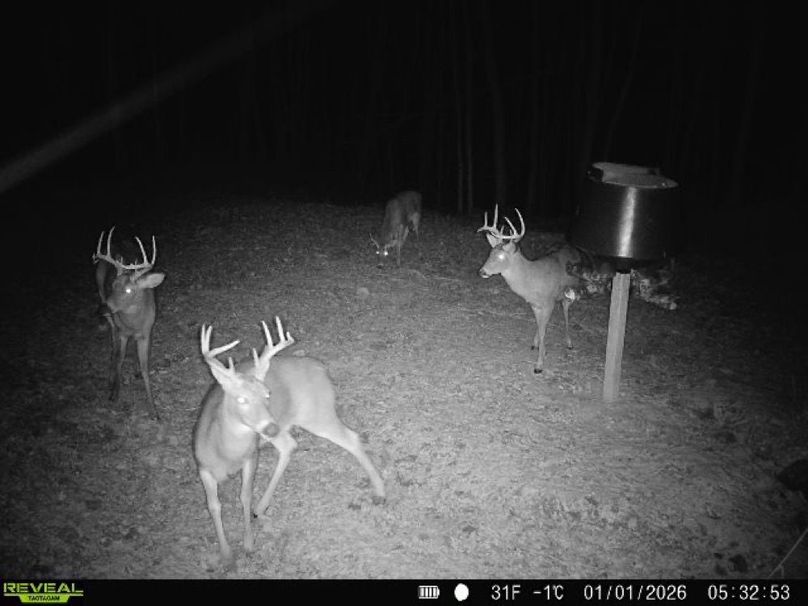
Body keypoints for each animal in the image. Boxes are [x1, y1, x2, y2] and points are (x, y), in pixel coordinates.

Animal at [92, 226, 165, 419]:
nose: (101, 309)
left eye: (129, 290)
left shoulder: (147, 332)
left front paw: (154, 410)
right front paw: (114, 393)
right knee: (113, 340)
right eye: (113, 284)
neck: (134, 323)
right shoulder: (122, 331)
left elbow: (145, 366)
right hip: (102, 294)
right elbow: (119, 357)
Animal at [193, 318, 386, 567]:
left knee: (350, 438)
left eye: (267, 394)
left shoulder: (251, 456)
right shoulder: (202, 466)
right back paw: (261, 507)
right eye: (241, 399)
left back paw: (380, 490)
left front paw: (248, 545)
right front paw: (226, 554)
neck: (225, 454)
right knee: (290, 445)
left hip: (317, 414)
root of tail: (320, 368)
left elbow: (244, 495)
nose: (270, 427)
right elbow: (214, 505)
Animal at [478, 205, 581, 375]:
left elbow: (544, 328)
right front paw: (539, 348)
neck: (532, 279)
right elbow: (539, 325)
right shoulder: (535, 304)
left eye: (501, 257)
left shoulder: (548, 302)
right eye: (490, 253)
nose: (482, 272)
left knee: (566, 309)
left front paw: (539, 365)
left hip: (570, 290)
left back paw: (569, 343)